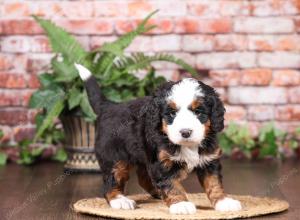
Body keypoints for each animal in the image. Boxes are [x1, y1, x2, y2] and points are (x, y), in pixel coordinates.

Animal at [74, 64, 241, 215]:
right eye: (171, 113)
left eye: (198, 112)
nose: (185, 132)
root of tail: (108, 106)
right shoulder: (161, 162)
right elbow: (171, 183)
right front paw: (180, 204)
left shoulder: (209, 159)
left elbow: (214, 182)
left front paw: (223, 201)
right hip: (114, 157)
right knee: (111, 180)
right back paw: (119, 200)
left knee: (143, 178)